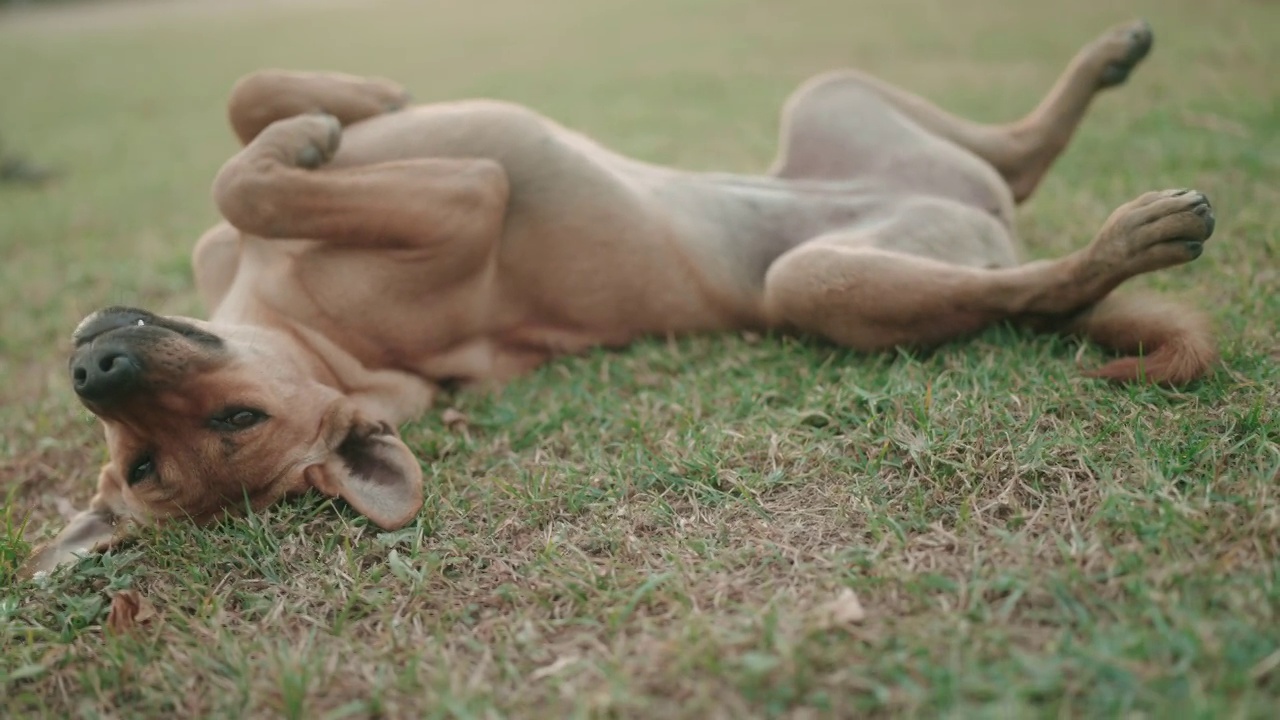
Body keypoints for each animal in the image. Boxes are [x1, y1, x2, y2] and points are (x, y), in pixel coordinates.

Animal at [20, 19, 1218, 573]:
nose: (93, 366)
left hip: (834, 102)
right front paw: (316, 129)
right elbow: (248, 166)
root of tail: (978, 223)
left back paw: (1107, 63)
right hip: (823, 279)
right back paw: (1129, 235)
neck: (306, 333)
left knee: (1019, 159)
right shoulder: (467, 193)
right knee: (1037, 284)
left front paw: (348, 99)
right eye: (148, 463)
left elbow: (246, 114)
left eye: (234, 418)